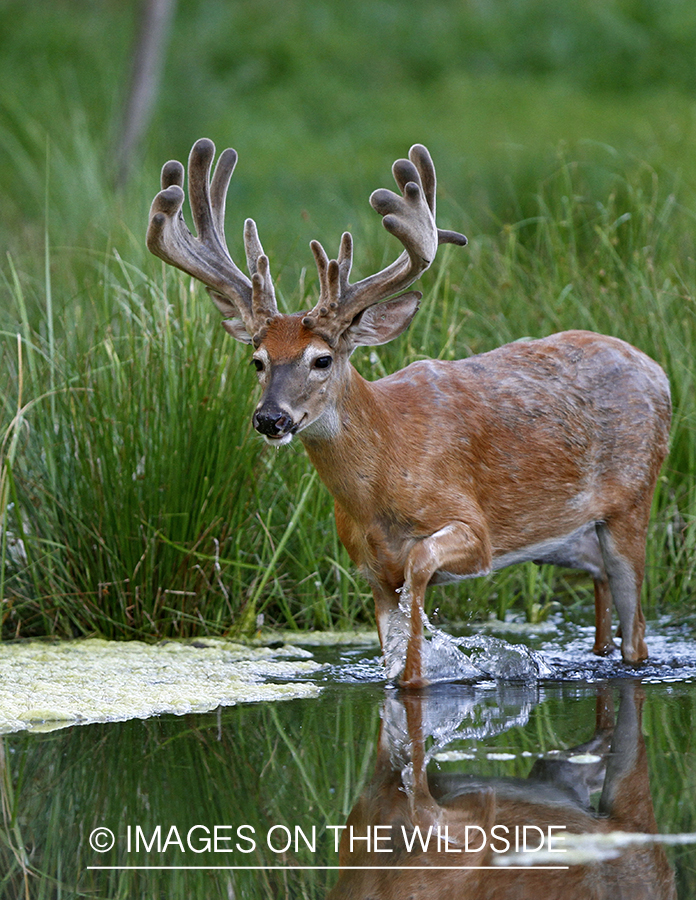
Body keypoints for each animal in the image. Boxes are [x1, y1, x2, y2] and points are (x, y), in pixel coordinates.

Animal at [145, 139, 668, 688]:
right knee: (601, 591)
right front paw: (406, 670)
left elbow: (419, 568)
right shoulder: (367, 565)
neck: (383, 478)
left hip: (633, 501)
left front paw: (423, 670)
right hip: (574, 538)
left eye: (322, 359)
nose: (271, 419)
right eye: (257, 360)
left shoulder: (474, 527)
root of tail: (657, 369)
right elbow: (390, 642)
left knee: (636, 632)